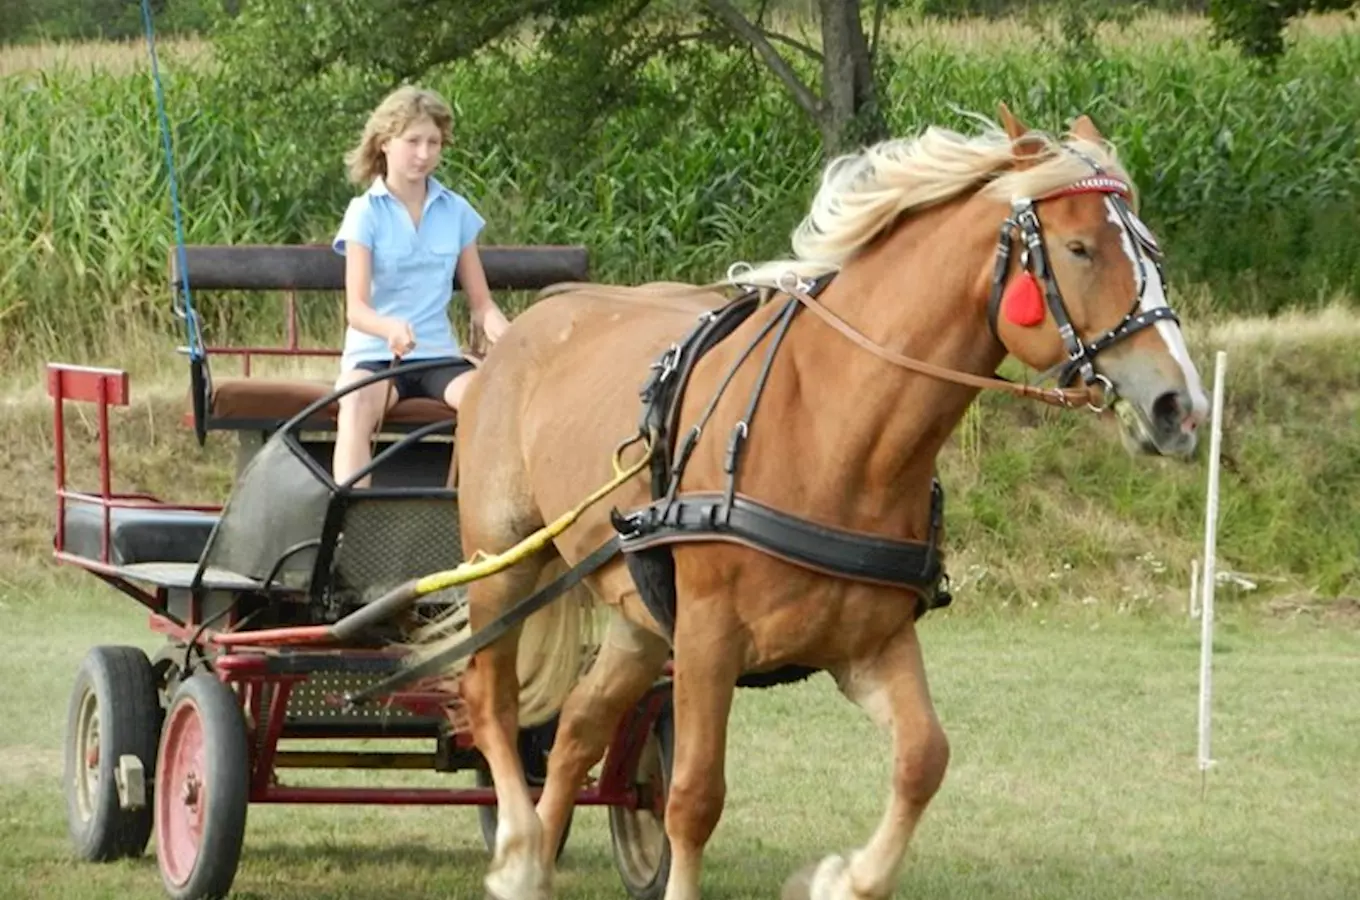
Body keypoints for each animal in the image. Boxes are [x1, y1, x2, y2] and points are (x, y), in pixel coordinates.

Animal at [432, 107, 1202, 900]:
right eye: (1079, 248)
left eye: (1151, 250)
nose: (1180, 406)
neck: (836, 431)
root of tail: (520, 331)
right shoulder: (708, 639)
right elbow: (695, 797)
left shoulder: (869, 643)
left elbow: (924, 758)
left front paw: (844, 878)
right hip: (504, 559)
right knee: (492, 701)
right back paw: (520, 844)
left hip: (639, 612)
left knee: (579, 726)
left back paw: (531, 865)